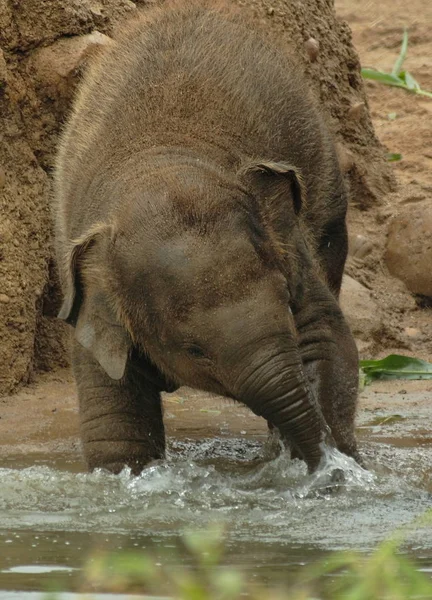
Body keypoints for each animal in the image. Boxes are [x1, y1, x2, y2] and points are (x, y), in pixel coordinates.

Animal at [55, 2, 362, 476]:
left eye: (285, 301)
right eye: (195, 350)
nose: (321, 466)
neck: (164, 160)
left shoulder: (290, 246)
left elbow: (327, 342)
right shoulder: (93, 304)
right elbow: (113, 420)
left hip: (325, 177)